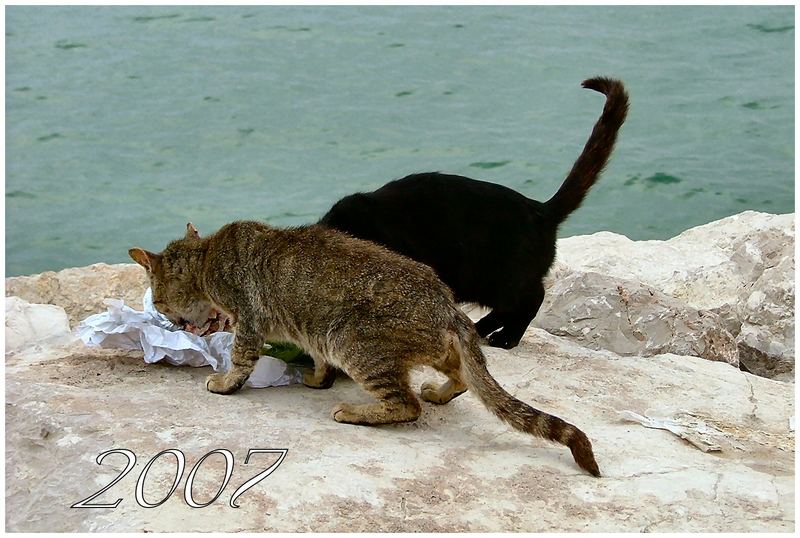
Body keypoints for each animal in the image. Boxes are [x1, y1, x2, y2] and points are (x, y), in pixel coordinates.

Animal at [128, 220, 600, 476]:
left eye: (159, 301)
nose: (168, 319)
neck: (208, 258)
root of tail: (449, 307)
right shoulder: (310, 332)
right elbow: (317, 358)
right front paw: (317, 379)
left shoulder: (249, 321)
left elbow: (242, 359)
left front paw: (225, 383)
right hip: (423, 347)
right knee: (464, 376)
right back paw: (441, 391)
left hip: (352, 341)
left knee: (406, 404)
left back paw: (356, 412)